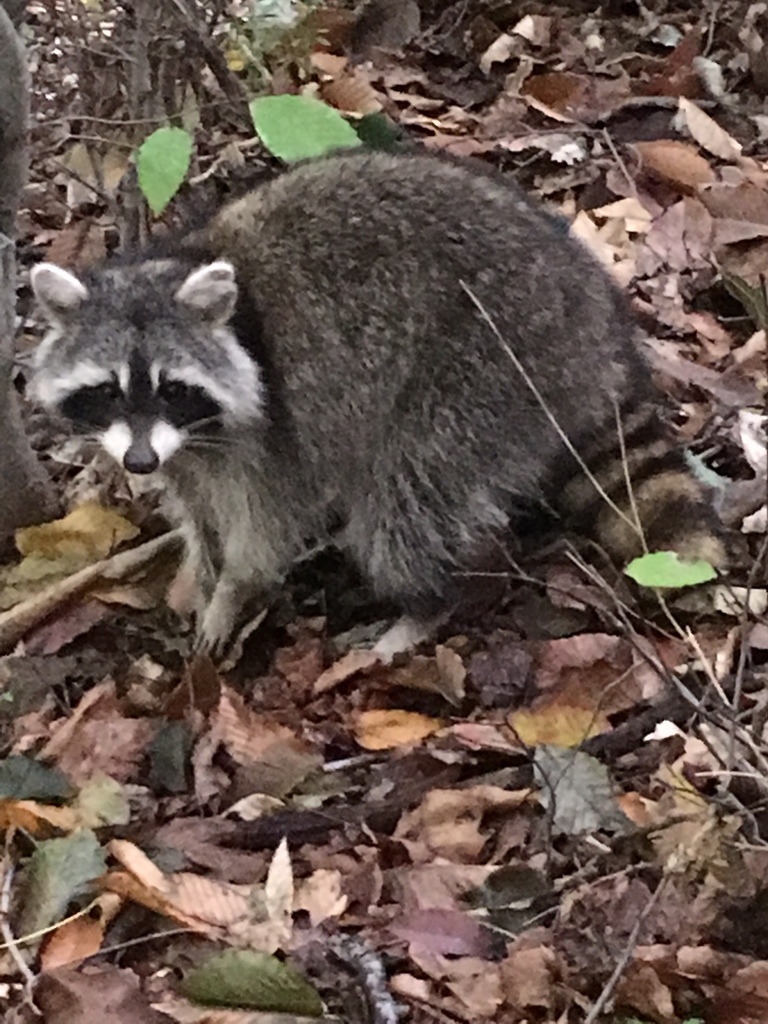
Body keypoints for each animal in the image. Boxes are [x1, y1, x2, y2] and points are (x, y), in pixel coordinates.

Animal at [28, 150, 725, 659]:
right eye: (108, 390)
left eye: (172, 388)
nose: (139, 464)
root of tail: (591, 316)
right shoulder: (184, 449)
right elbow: (199, 511)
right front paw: (203, 575)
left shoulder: (273, 428)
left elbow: (268, 525)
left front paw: (234, 590)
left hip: (481, 367)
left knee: (405, 499)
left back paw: (424, 606)